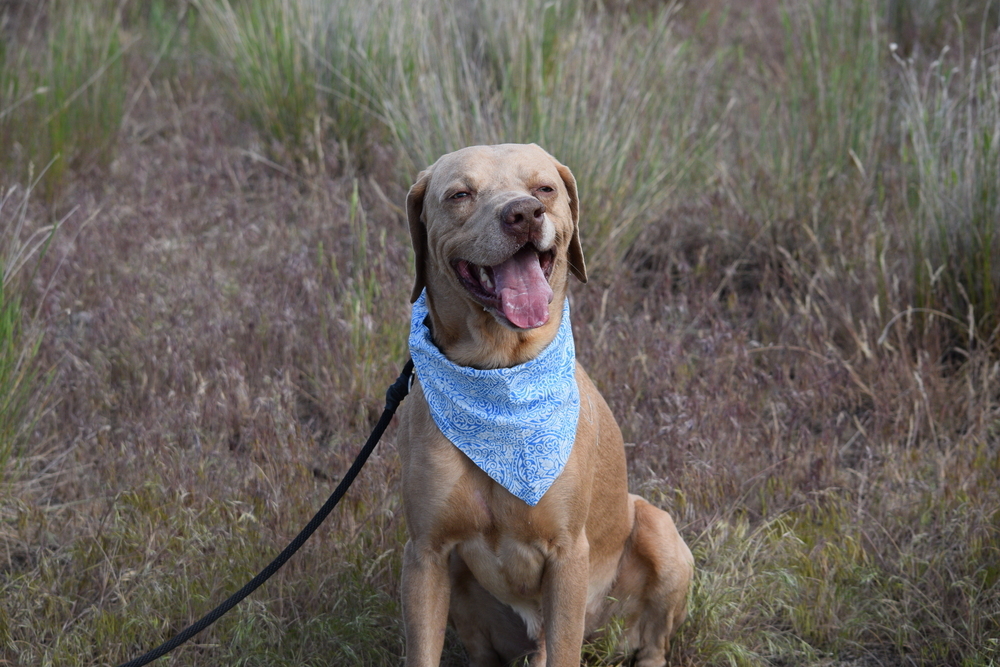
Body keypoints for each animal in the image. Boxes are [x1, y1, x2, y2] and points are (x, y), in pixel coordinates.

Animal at [394, 144, 692, 664]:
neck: (499, 379)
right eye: (460, 194)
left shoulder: (567, 554)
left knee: (652, 643)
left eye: (544, 189)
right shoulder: (426, 555)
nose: (523, 214)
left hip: (658, 532)